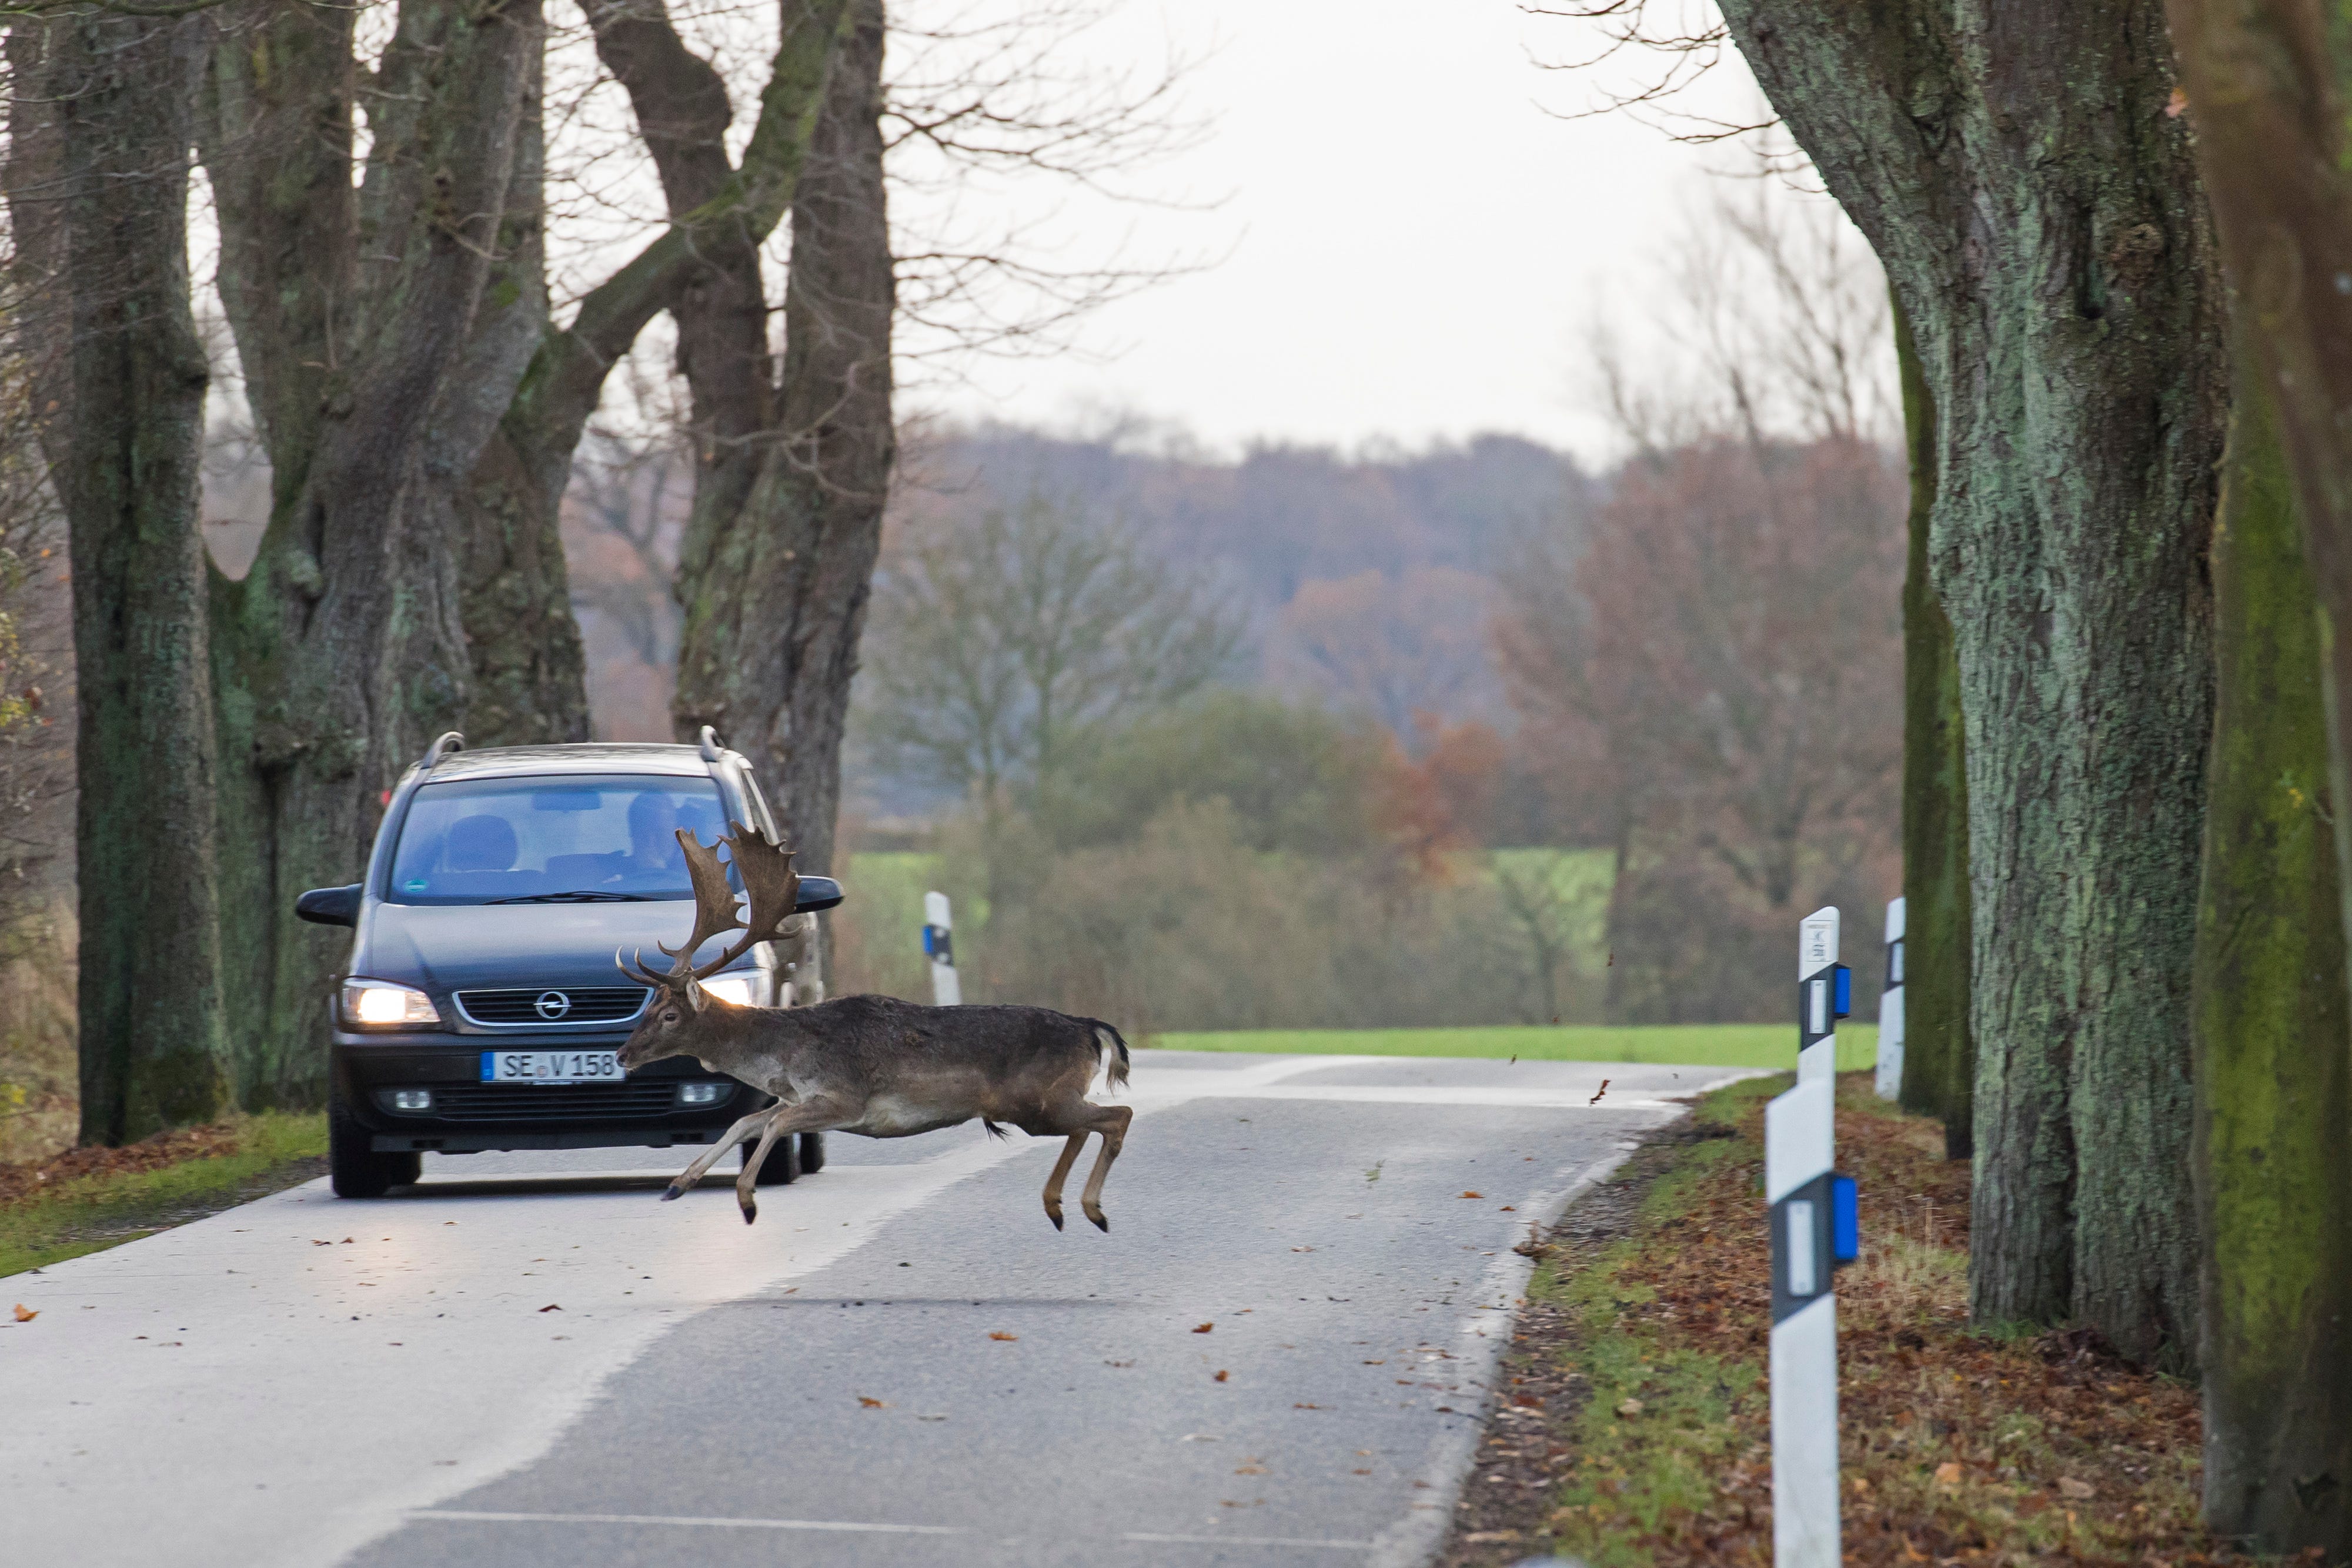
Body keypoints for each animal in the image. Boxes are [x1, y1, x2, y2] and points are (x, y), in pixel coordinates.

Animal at [612, 818, 1134, 1232]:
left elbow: (774, 1122)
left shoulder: (845, 1097)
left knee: (1117, 1115)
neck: (782, 1056)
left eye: (670, 1014)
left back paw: (1091, 1209)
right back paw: (1059, 1207)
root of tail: (1091, 1029)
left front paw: (746, 1198)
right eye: (651, 1005)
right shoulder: (799, 1096)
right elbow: (746, 1120)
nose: (622, 1053)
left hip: (1038, 1100)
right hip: (1042, 1106)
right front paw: (678, 1184)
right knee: (1089, 1126)